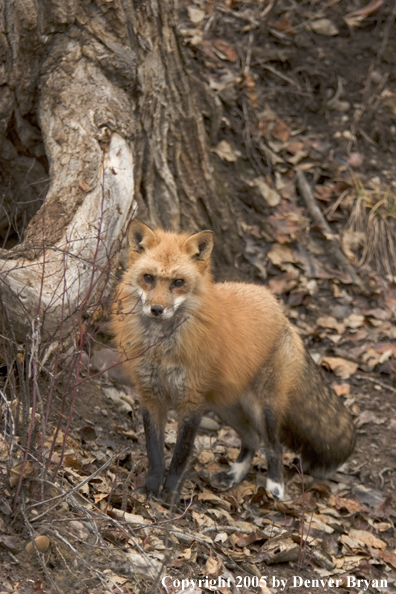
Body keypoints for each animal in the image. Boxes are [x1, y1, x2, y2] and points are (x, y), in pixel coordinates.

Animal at [110, 221, 356, 500]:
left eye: (178, 282)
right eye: (148, 278)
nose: (156, 310)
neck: (162, 349)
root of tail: (280, 311)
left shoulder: (192, 401)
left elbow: (181, 455)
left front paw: (171, 495)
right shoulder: (150, 395)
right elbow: (154, 453)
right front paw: (149, 490)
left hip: (263, 408)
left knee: (274, 446)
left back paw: (275, 487)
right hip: (228, 407)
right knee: (252, 440)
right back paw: (235, 475)